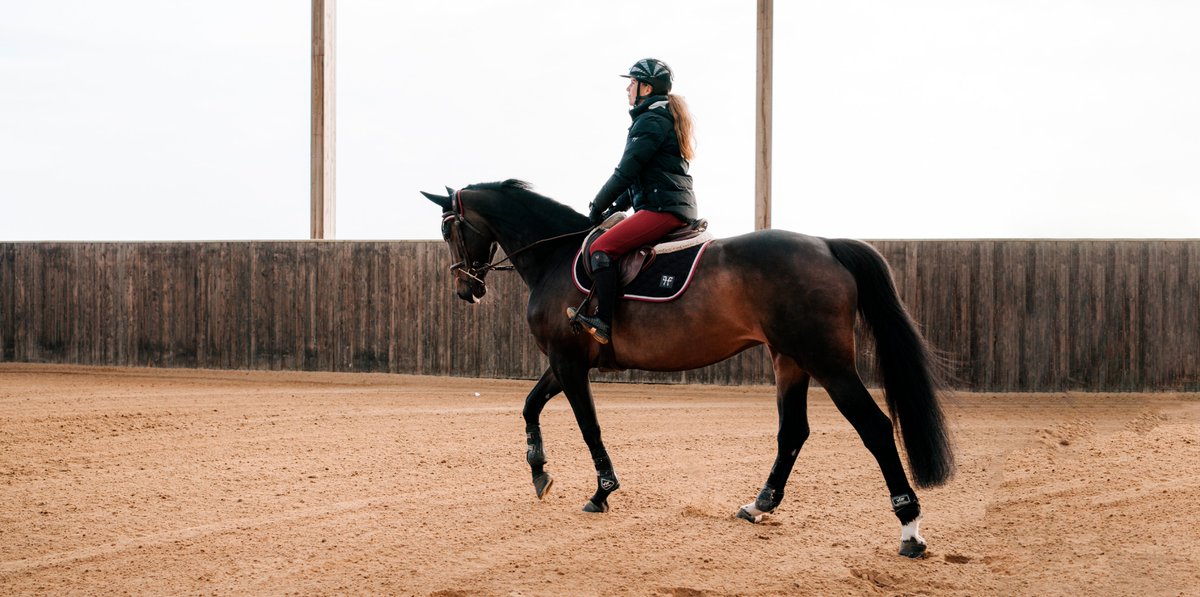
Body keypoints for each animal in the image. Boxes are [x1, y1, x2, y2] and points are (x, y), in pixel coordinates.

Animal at [421, 179, 953, 558]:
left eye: (449, 229)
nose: (466, 289)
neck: (556, 256)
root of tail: (824, 244)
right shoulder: (562, 360)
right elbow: (530, 405)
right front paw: (538, 469)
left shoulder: (569, 362)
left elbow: (588, 426)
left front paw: (602, 491)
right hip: (790, 361)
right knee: (793, 432)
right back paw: (759, 505)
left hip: (828, 362)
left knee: (876, 428)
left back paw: (910, 530)